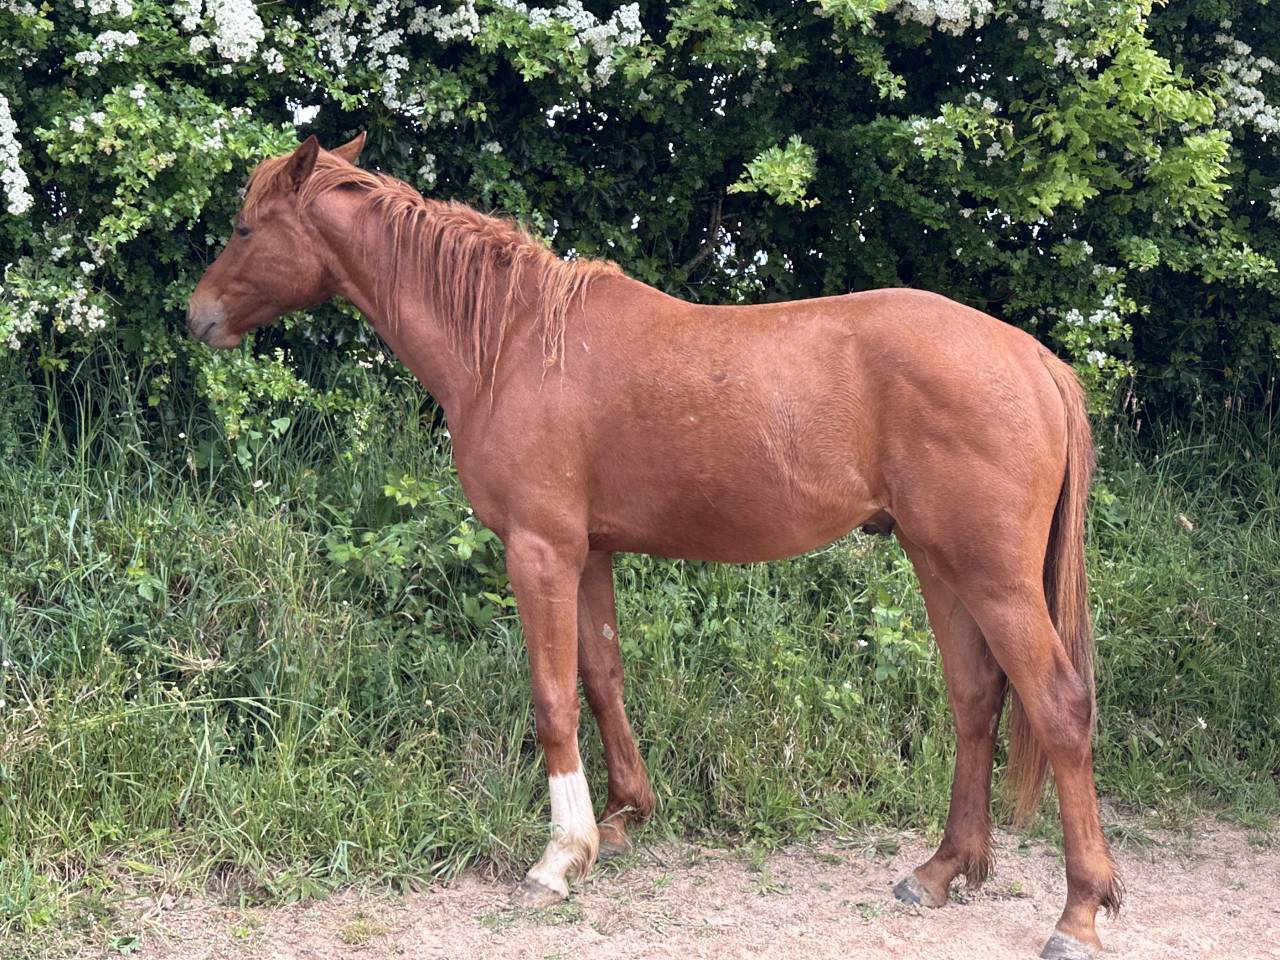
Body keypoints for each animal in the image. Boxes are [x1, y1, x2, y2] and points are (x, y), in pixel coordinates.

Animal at [188, 134, 1122, 960]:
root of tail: (1036, 361)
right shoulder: (590, 552)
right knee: (975, 699)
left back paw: (1077, 914)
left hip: (993, 576)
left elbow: (553, 699)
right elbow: (602, 676)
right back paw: (939, 870)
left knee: (1059, 707)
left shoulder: (539, 551)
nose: (198, 316)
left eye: (244, 227)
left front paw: (559, 857)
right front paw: (623, 818)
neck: (512, 342)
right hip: (940, 564)